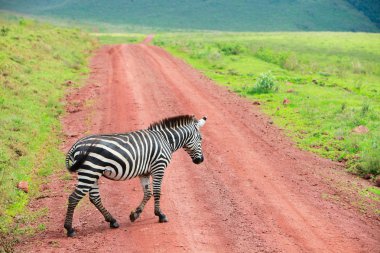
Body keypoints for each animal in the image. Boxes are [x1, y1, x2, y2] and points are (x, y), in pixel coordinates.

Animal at [63, 114, 206, 237]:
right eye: (200, 139)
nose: (201, 160)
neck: (165, 140)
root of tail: (76, 144)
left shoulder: (144, 172)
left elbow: (148, 193)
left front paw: (135, 214)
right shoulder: (159, 167)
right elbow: (157, 192)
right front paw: (160, 215)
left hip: (93, 174)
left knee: (94, 198)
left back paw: (112, 221)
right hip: (90, 171)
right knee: (74, 198)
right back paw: (69, 229)